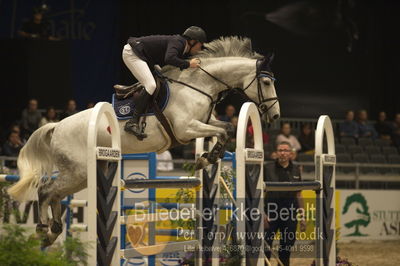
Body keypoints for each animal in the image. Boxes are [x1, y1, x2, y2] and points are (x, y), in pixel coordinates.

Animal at [7, 36, 280, 246]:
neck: (200, 84)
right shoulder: (186, 128)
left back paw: (52, 231)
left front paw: (207, 157)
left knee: (54, 194)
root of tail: (56, 126)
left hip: (79, 175)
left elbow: (227, 127)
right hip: (78, 171)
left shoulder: (204, 123)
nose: (276, 116)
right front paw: (208, 158)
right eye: (266, 82)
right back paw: (43, 228)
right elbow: (224, 131)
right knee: (46, 190)